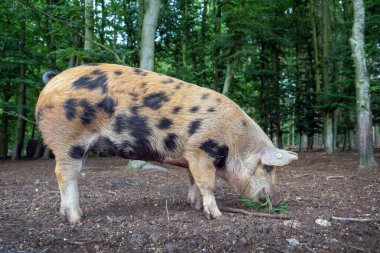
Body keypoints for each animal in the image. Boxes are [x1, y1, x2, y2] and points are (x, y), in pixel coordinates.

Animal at [35, 63, 296, 223]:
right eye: (268, 167)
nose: (279, 200)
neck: (235, 140)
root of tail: (53, 80)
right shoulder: (202, 149)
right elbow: (207, 184)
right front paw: (217, 215)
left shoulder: (190, 155)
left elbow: (193, 181)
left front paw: (193, 206)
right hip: (67, 140)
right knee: (64, 174)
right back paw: (76, 218)